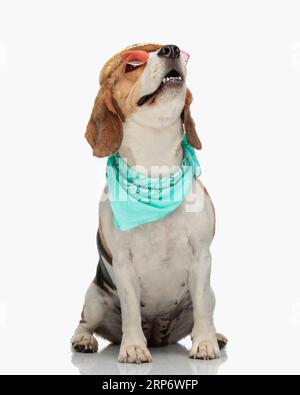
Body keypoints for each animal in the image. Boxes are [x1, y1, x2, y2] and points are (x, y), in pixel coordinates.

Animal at [71, 44, 226, 366]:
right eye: (131, 66)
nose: (171, 49)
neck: (156, 165)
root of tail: (157, 332)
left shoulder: (202, 256)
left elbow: (202, 307)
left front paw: (205, 343)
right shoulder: (123, 262)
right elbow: (130, 308)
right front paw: (132, 348)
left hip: (210, 293)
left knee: (205, 308)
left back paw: (214, 334)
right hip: (94, 298)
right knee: (85, 323)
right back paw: (83, 340)